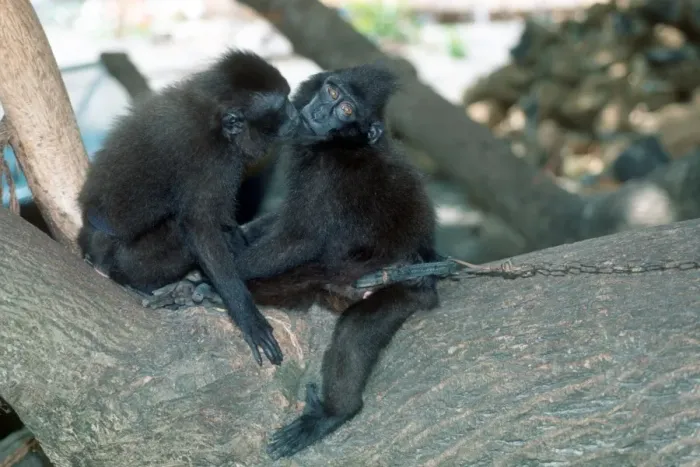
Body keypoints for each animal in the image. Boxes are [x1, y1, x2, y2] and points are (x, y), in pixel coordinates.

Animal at [76, 49, 300, 367]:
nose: (295, 113)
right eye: (282, 105)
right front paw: (246, 315)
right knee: (178, 230)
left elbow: (223, 223)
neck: (213, 118)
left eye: (287, 98)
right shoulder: (211, 160)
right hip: (128, 260)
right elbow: (200, 227)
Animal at [229, 64, 441, 458]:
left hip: (397, 290)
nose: (320, 112)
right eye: (331, 92)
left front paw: (202, 279)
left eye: (345, 110)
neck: (342, 145)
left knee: (354, 332)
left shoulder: (327, 174)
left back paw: (333, 413)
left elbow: (300, 238)